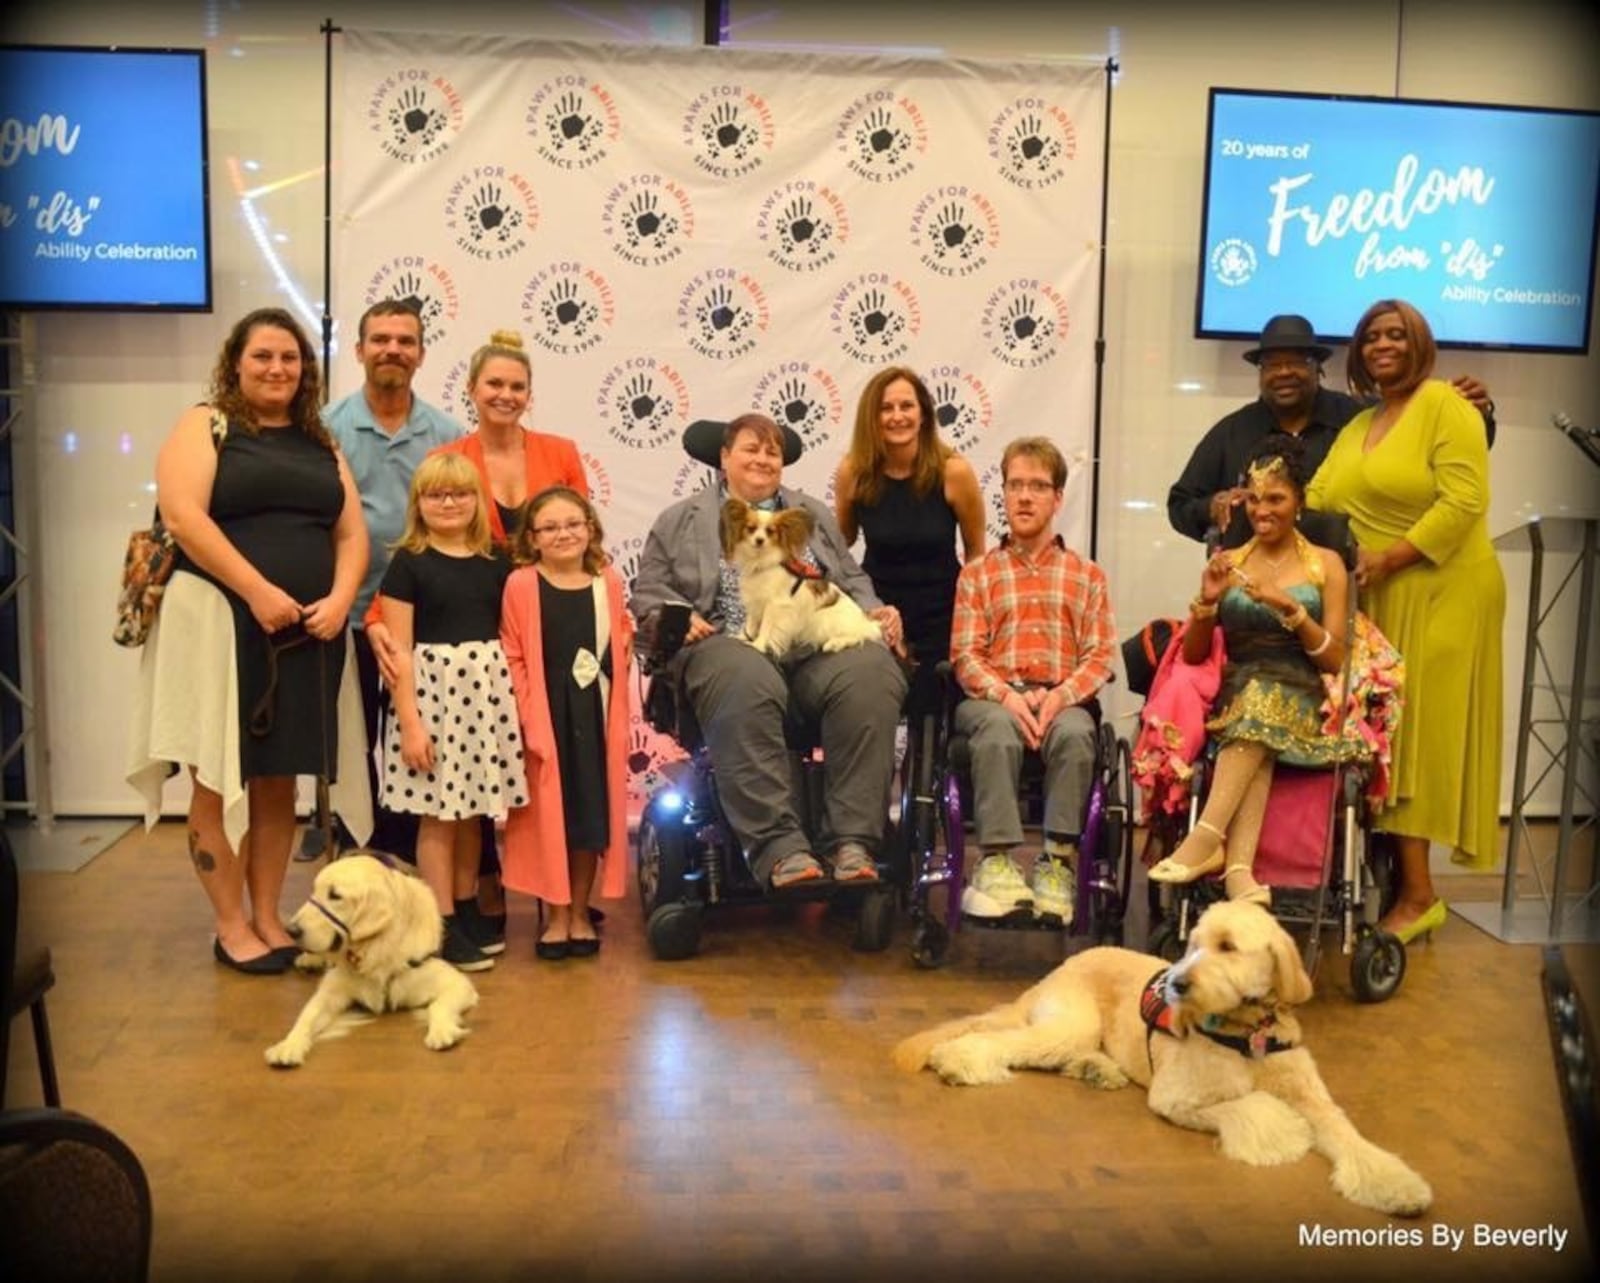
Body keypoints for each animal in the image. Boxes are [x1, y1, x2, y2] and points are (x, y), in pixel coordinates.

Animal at [720, 495, 883, 655]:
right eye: (751, 529)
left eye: (770, 531)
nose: (759, 540)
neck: (761, 561)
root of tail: (864, 622)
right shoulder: (755, 601)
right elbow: (750, 624)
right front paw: (742, 637)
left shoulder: (774, 605)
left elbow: (766, 627)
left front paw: (758, 645)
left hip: (823, 621)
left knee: (857, 636)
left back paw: (834, 643)